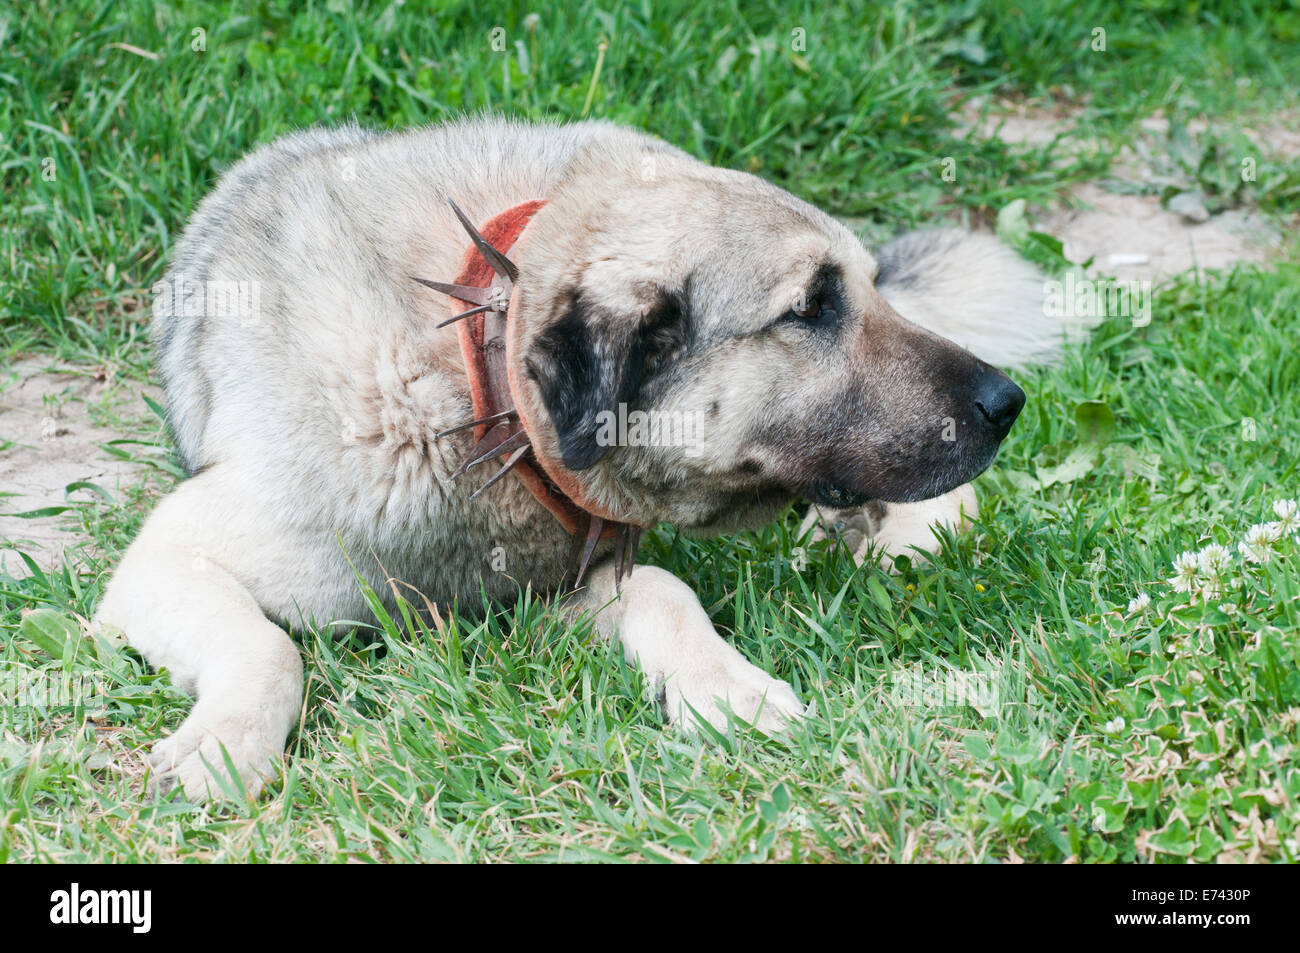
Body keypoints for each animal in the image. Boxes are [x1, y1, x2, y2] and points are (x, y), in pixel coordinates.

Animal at [94, 120, 1066, 800]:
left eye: (857, 290)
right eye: (812, 306)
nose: (1005, 403)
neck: (473, 383)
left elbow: (665, 590)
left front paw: (726, 688)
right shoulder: (169, 560)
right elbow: (267, 646)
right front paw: (225, 743)